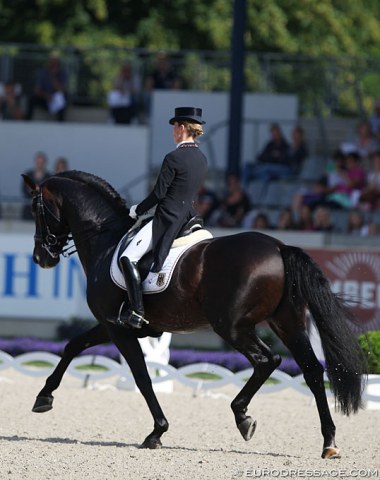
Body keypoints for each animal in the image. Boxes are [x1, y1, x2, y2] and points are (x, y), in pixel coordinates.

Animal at [22, 172, 366, 458]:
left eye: (36, 211)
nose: (41, 258)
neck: (105, 239)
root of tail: (280, 248)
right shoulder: (110, 325)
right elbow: (73, 346)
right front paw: (43, 398)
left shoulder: (118, 328)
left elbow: (142, 377)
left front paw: (156, 432)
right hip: (287, 323)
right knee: (311, 370)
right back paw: (329, 442)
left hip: (232, 326)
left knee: (267, 360)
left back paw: (243, 416)